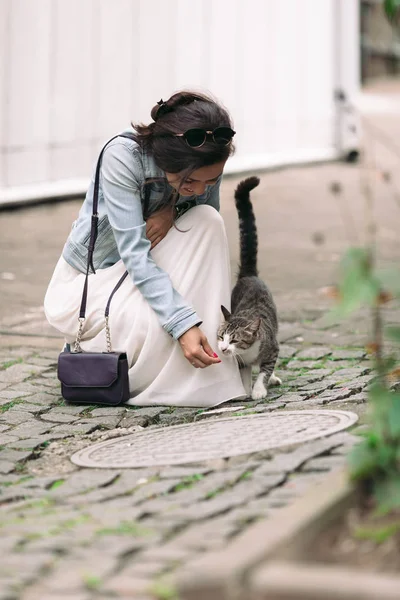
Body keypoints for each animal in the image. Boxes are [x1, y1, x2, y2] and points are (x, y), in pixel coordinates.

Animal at [217, 175, 280, 398]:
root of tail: (249, 274)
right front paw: (244, 391)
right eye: (221, 337)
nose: (223, 349)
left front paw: (259, 389)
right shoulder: (241, 363)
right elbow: (244, 374)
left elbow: (264, 371)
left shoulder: (272, 349)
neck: (247, 353)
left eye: (234, 340)